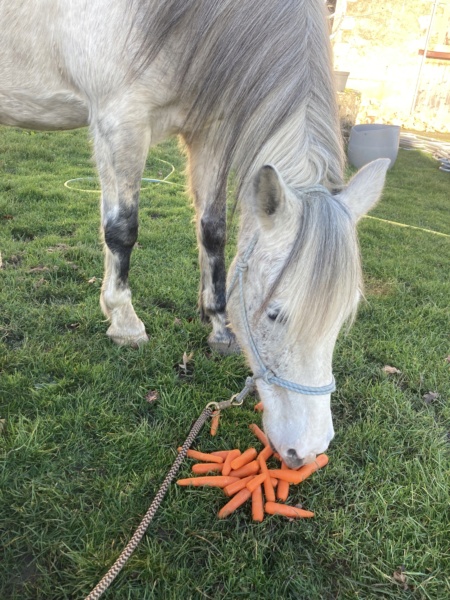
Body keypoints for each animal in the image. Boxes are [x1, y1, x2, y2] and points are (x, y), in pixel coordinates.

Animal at [0, 0, 386, 466]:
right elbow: (122, 228)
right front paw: (125, 322)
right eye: (274, 314)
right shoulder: (121, 120)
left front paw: (219, 326)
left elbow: (212, 228)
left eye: (343, 317)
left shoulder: (211, 131)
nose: (307, 450)